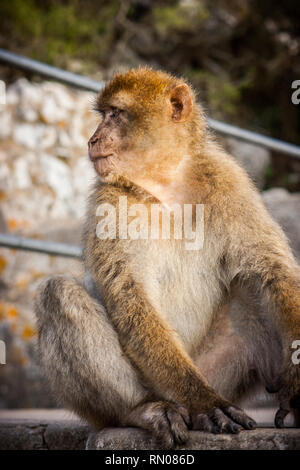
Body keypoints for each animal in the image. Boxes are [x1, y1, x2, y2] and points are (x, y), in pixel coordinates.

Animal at [35, 67, 300, 448]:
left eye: (115, 114)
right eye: (105, 115)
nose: (92, 139)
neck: (164, 181)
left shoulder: (228, 178)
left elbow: (272, 271)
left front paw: (298, 377)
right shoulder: (108, 201)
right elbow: (132, 300)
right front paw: (205, 403)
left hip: (218, 370)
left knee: (252, 291)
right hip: (161, 381)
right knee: (58, 294)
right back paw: (145, 410)